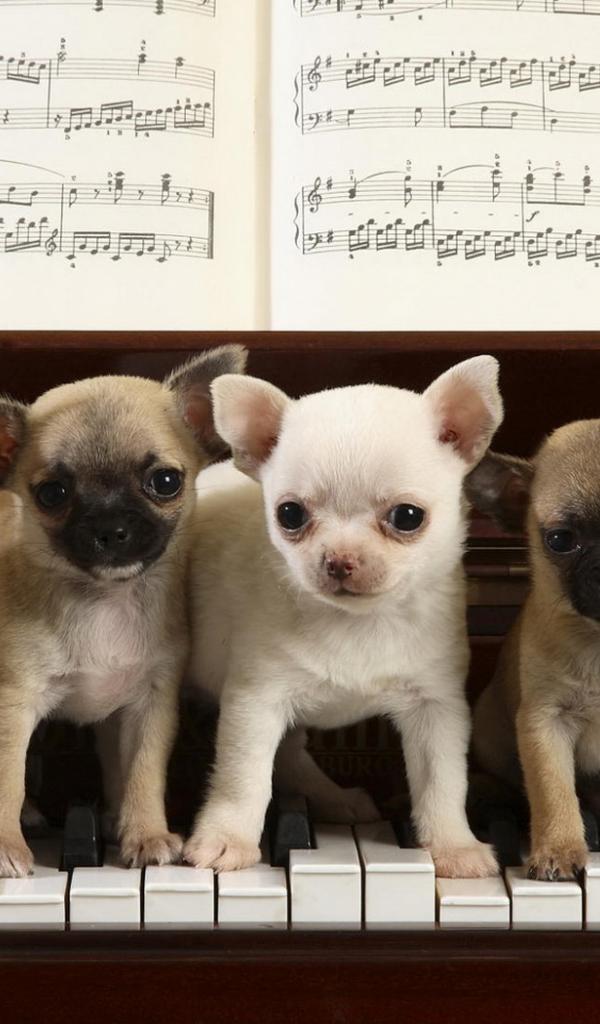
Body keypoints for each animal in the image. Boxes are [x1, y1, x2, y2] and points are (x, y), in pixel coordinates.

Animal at [0, 343, 246, 877]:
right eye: (52, 494)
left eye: (166, 482)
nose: (109, 527)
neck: (104, 599)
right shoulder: (14, 704)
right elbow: (7, 778)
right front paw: (6, 847)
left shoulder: (148, 708)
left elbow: (142, 774)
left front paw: (145, 834)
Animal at [184, 356, 503, 878]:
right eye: (289, 515)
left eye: (408, 517)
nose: (339, 560)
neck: (357, 622)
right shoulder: (256, 702)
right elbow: (243, 779)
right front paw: (227, 839)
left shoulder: (436, 708)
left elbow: (442, 782)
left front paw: (453, 846)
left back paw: (332, 799)